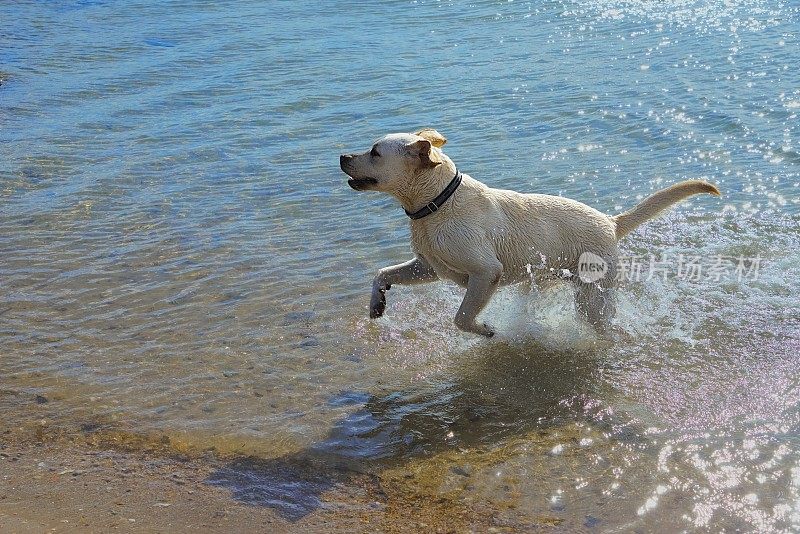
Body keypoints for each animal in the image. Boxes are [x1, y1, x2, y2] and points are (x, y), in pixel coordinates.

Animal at [338, 130, 720, 338]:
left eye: (375, 152)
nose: (342, 155)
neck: (437, 203)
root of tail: (612, 222)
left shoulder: (485, 272)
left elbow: (461, 317)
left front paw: (486, 330)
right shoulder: (429, 267)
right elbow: (383, 273)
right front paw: (377, 303)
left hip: (592, 295)